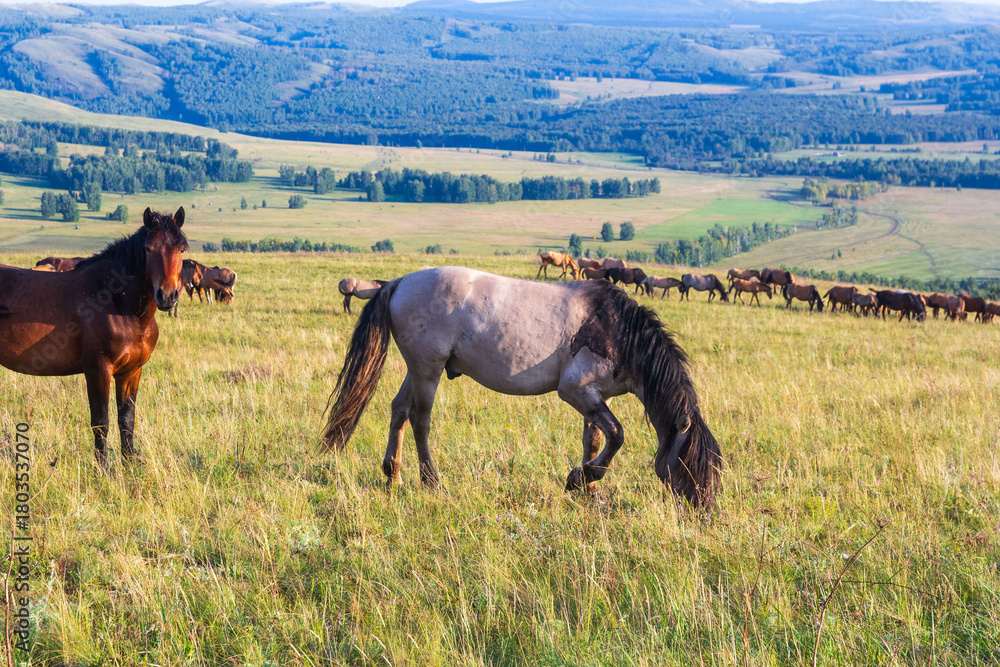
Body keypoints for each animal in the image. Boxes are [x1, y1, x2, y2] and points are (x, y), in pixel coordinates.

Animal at [0, 207, 187, 467]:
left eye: (181, 249)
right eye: (148, 249)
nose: (167, 296)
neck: (115, 303)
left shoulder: (131, 372)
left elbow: (126, 419)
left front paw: (129, 464)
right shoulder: (98, 369)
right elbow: (101, 421)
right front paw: (103, 468)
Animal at [321, 267, 722, 508]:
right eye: (690, 463)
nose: (704, 510)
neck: (617, 329)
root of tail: (401, 281)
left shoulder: (596, 397)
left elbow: (596, 441)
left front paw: (589, 490)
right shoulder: (575, 391)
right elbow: (618, 435)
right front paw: (581, 478)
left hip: (418, 370)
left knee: (399, 411)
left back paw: (393, 475)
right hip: (427, 370)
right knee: (421, 421)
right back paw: (431, 480)